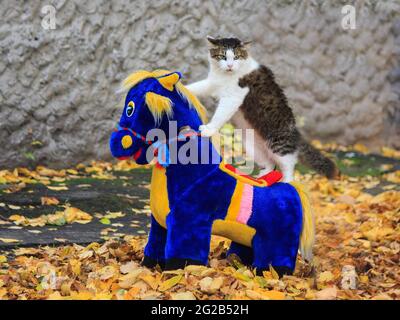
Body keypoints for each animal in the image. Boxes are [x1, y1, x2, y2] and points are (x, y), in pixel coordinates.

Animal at [187, 36, 338, 181]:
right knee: (270, 163)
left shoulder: (234, 96)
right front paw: (182, 86)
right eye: (223, 56)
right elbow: (196, 87)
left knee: (288, 165)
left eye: (236, 57)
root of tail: (296, 133)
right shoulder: (212, 83)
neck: (225, 75)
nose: (230, 65)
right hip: (252, 146)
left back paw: (286, 182)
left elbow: (220, 114)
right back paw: (262, 177)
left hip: (278, 144)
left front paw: (209, 129)